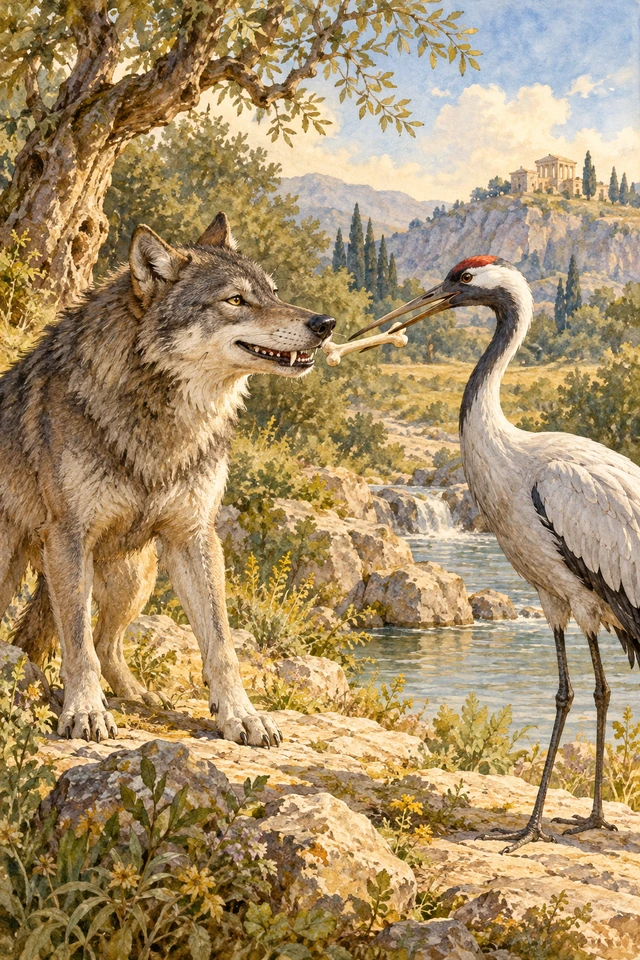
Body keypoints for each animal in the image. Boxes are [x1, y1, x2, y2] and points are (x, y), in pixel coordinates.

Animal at [2, 212, 335, 745]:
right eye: (235, 300)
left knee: (108, 642)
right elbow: (76, 643)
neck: (161, 419)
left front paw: (241, 716)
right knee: (82, 640)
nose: (324, 324)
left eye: (274, 292)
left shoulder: (193, 535)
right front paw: (84, 711)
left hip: (136, 577)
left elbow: (220, 644)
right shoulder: (68, 536)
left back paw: (140, 695)